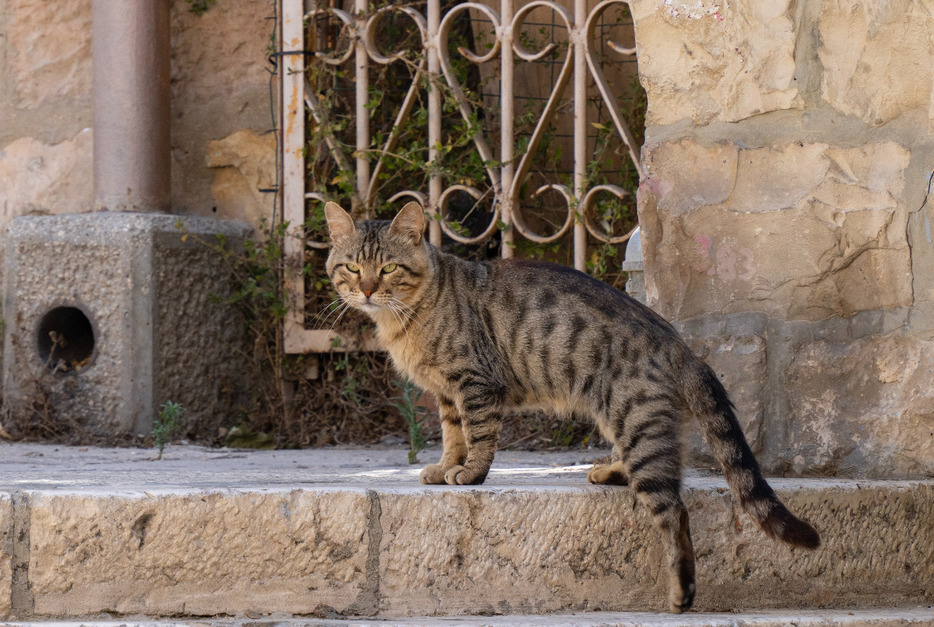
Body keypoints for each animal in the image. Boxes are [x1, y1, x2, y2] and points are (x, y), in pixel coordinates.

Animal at [326, 201, 824, 612]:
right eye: (352, 267)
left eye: (388, 268)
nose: (366, 290)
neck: (407, 316)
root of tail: (679, 343)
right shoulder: (446, 394)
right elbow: (452, 437)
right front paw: (446, 466)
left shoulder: (475, 383)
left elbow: (479, 436)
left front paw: (469, 474)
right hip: (624, 420)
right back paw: (610, 471)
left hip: (637, 424)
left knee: (674, 512)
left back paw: (681, 593)